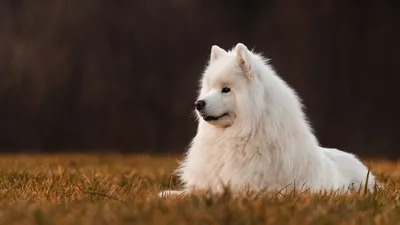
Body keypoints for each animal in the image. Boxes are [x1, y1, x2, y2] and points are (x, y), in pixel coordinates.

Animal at [159, 43, 376, 197]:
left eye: (226, 89)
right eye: (209, 88)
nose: (198, 103)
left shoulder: (248, 188)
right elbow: (185, 192)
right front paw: (166, 194)